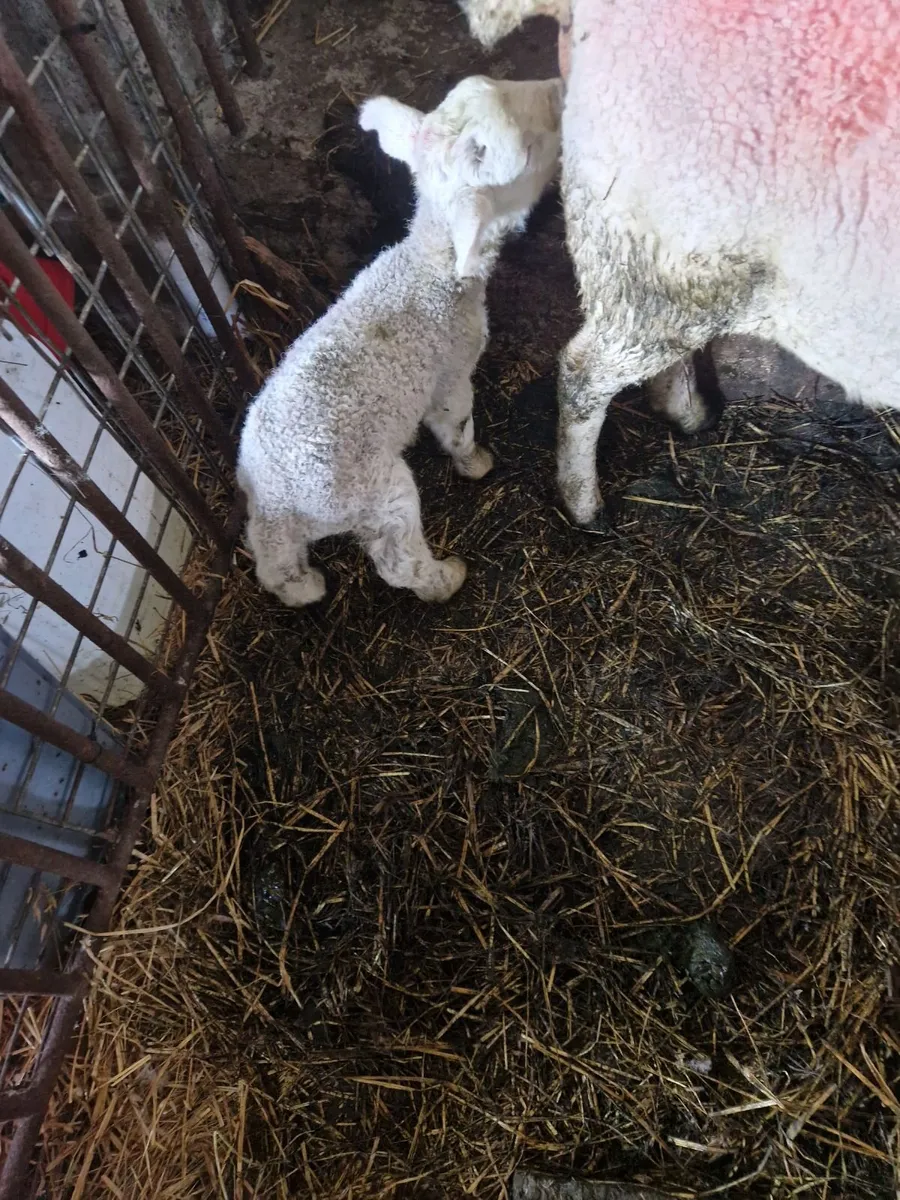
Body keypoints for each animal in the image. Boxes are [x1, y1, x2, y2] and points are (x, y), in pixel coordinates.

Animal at [237, 75, 562, 606]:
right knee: (398, 559)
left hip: (275, 521)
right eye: (529, 150)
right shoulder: (451, 372)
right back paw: (446, 578)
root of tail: (277, 498)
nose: (558, 89)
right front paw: (474, 463)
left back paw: (304, 588)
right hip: (377, 494)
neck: (430, 268)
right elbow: (456, 425)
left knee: (273, 563)